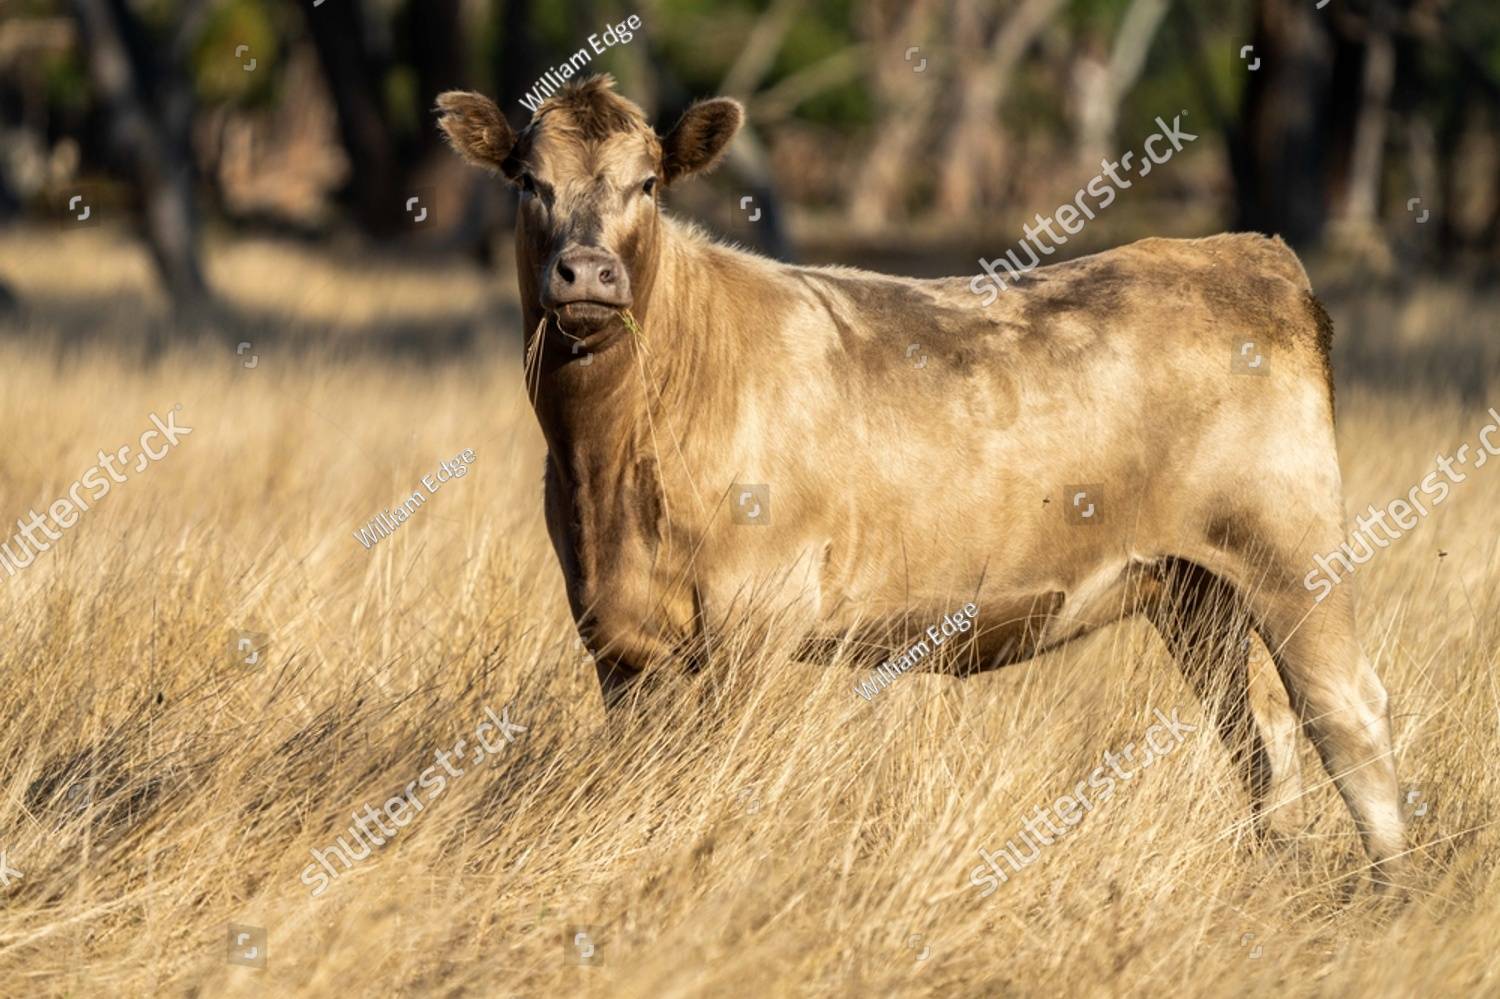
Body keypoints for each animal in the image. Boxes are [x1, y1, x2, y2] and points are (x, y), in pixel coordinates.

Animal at [436, 75, 1407, 889]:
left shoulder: (753, 618)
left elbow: (714, 774)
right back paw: (1276, 873)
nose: (588, 272)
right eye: (530, 182)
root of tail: (1247, 252)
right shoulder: (614, 637)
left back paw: (1392, 890)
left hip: (1296, 557)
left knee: (1346, 714)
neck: (609, 457)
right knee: (1263, 735)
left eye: (647, 184)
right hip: (1195, 589)